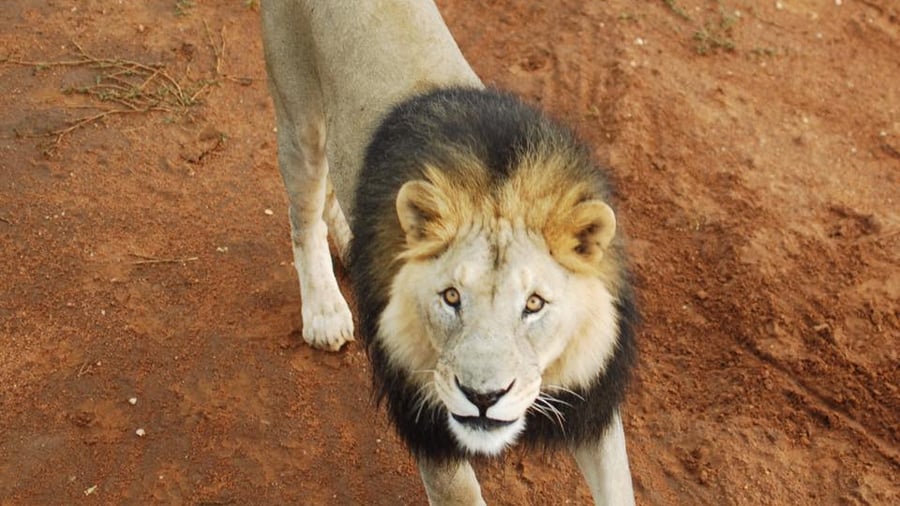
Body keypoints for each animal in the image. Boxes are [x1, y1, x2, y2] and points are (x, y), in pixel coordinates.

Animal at [261, 1, 638, 504]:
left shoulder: (591, 402)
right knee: (303, 217)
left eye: (534, 304)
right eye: (451, 297)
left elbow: (618, 487)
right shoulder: (429, 420)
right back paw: (324, 310)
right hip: (298, 117)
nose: (483, 398)